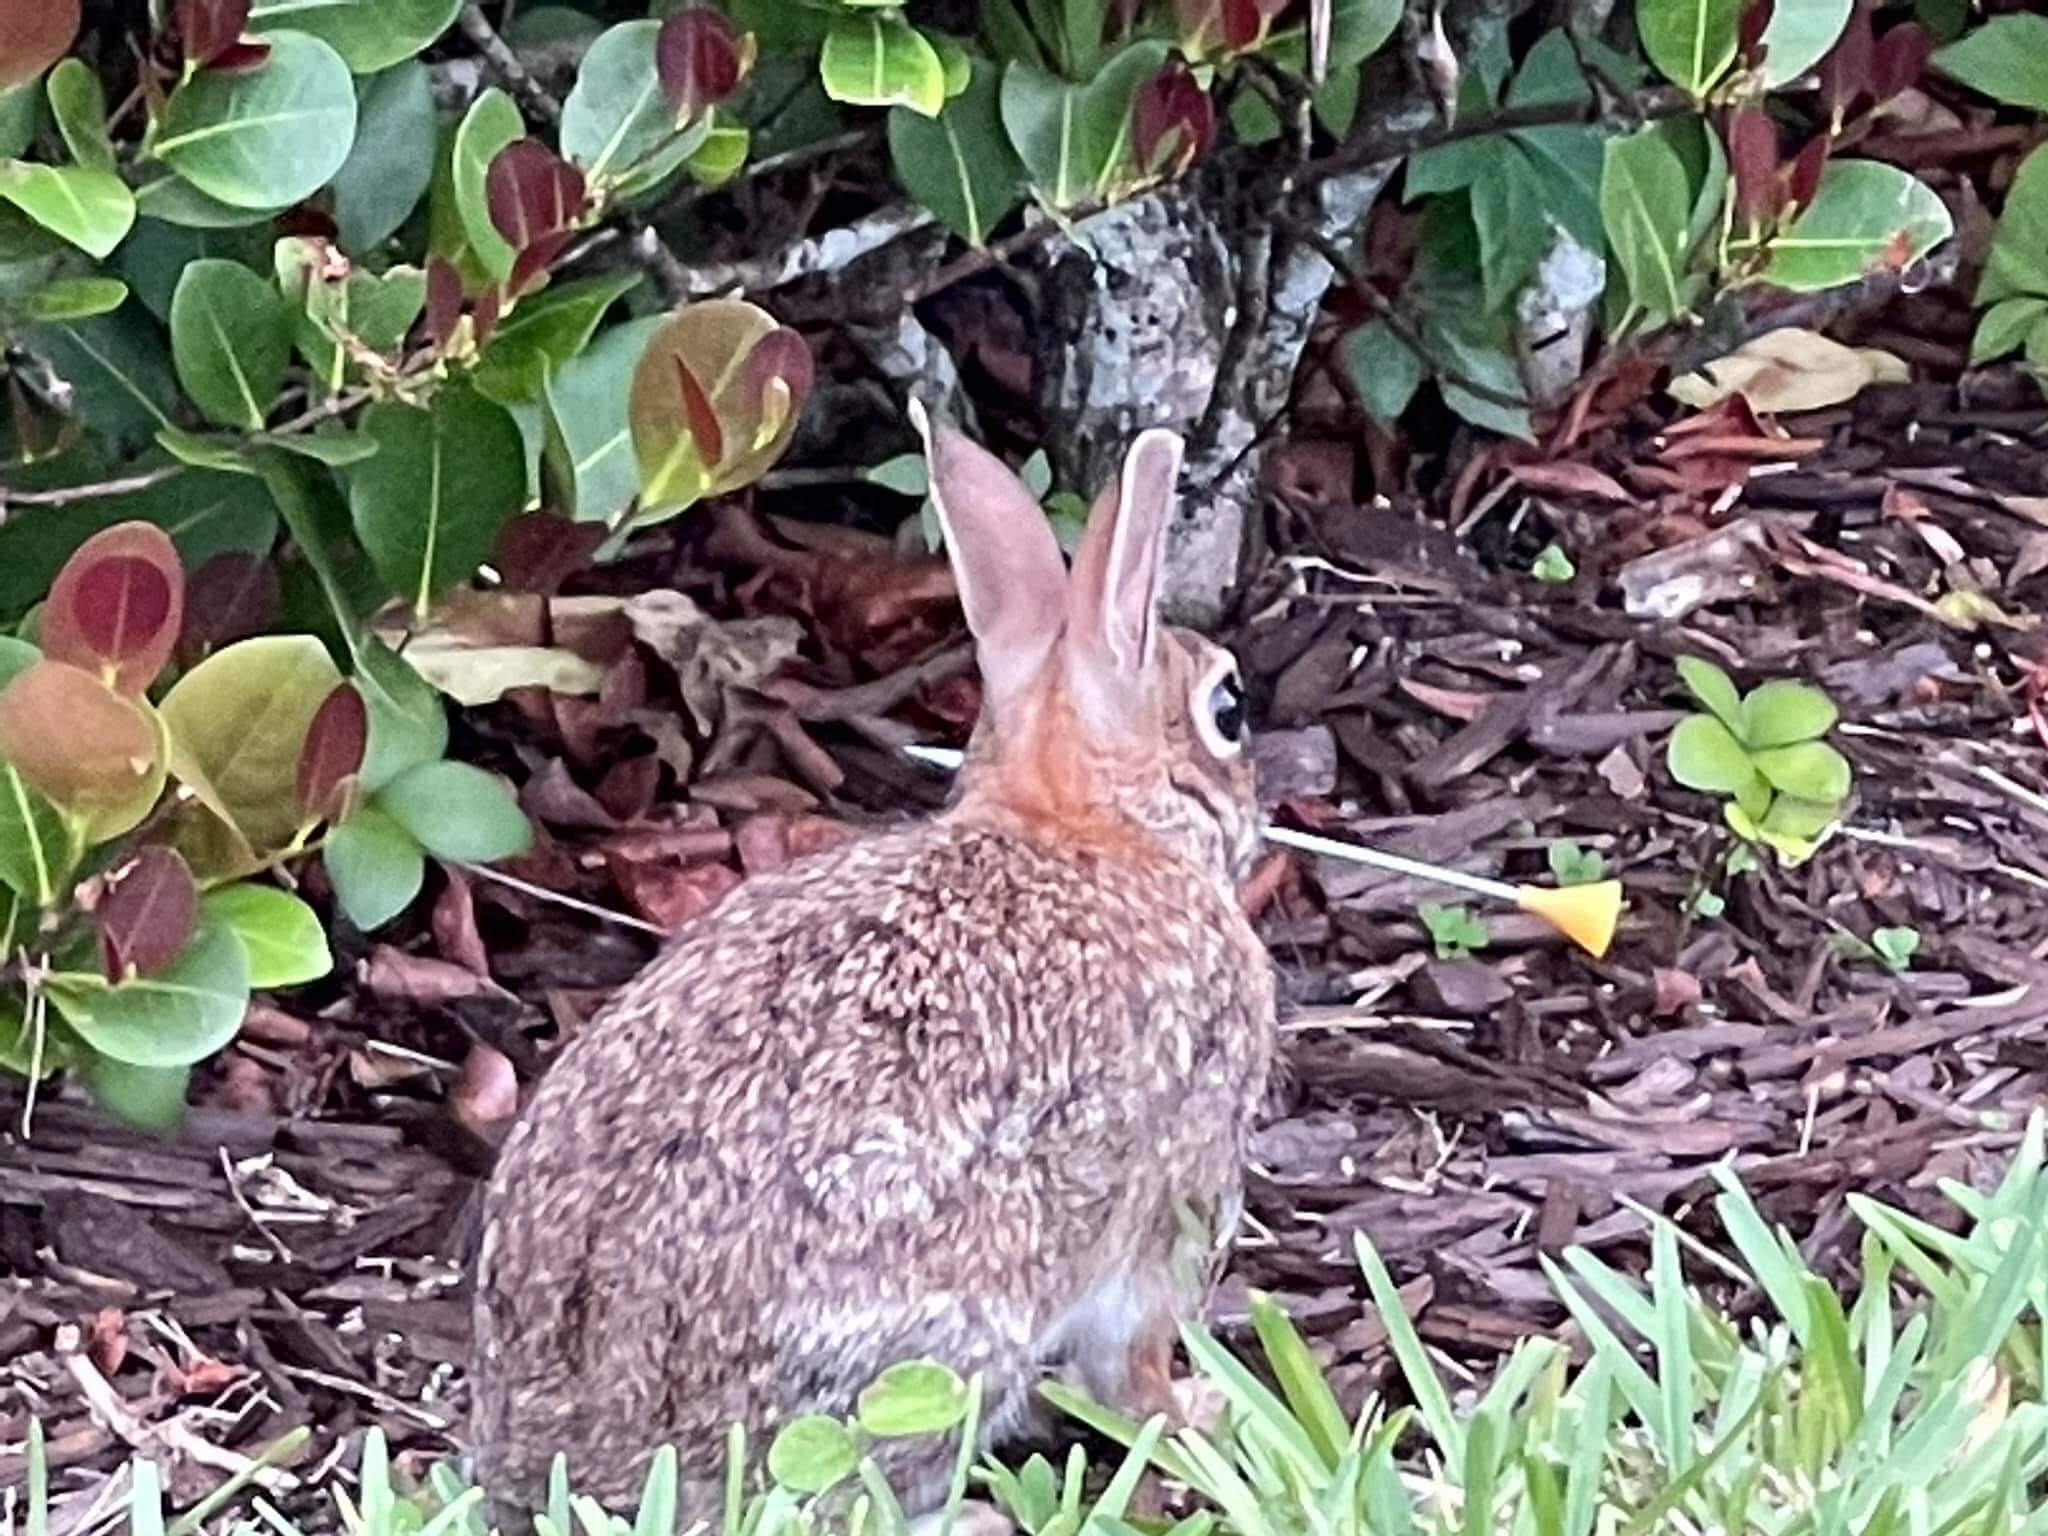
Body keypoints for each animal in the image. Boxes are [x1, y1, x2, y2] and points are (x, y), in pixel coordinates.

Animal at [468, 402, 1278, 1534]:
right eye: (1228, 710)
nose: (1258, 807)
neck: (1082, 828)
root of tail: (584, 1474)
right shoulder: (1177, 1184)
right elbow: (1135, 1359)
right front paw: (1199, 1411)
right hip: (949, 1326)